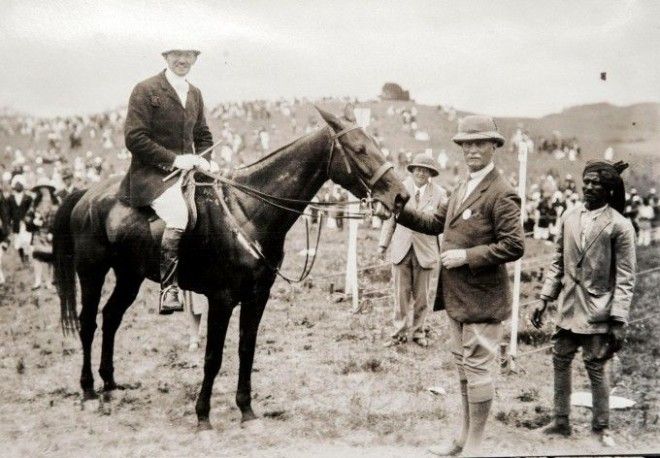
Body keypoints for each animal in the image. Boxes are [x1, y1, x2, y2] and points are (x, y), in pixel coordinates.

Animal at [52, 108, 408, 430]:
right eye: (360, 148)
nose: (401, 196)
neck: (248, 211)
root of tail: (87, 193)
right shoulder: (221, 300)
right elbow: (213, 357)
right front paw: (202, 415)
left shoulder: (257, 297)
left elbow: (246, 349)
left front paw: (246, 410)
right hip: (92, 272)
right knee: (88, 323)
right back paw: (89, 391)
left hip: (130, 275)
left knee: (111, 317)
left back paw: (110, 385)